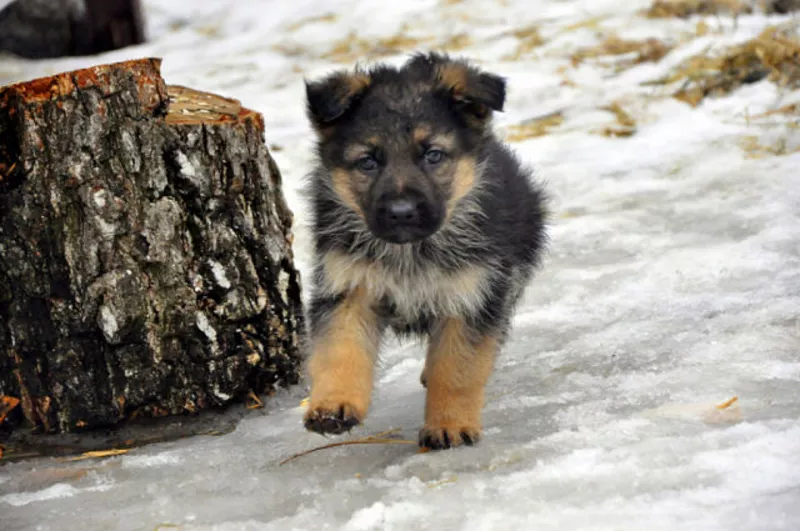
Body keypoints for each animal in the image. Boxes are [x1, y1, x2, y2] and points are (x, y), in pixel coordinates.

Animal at [304, 53, 548, 448]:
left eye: (433, 155)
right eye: (368, 161)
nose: (402, 212)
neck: (411, 252)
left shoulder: (472, 296)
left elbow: (457, 369)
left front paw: (449, 424)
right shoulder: (348, 287)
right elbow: (340, 350)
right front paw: (333, 406)